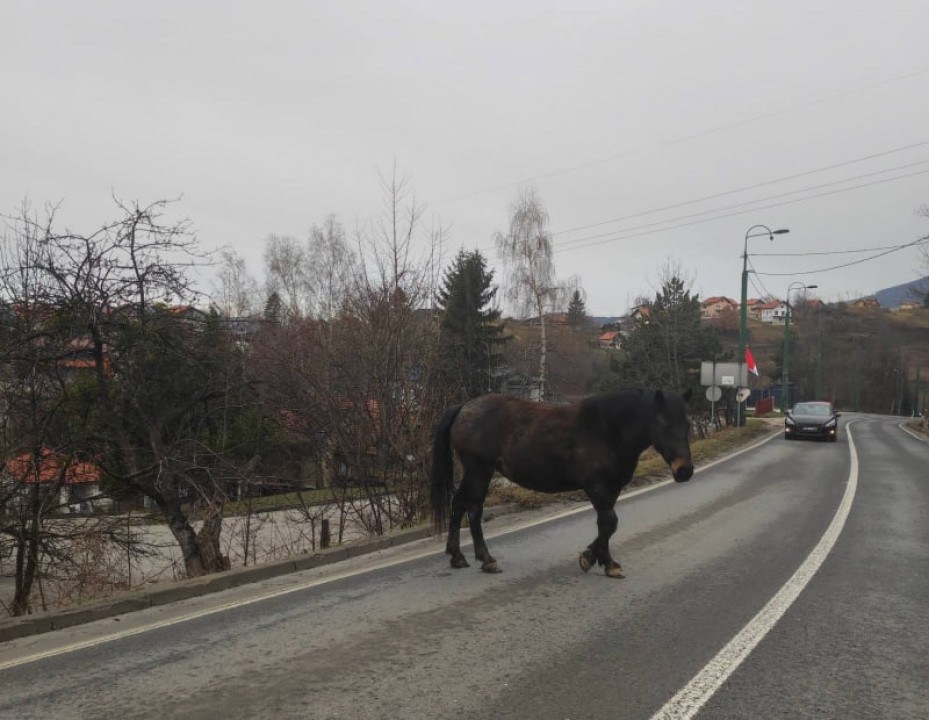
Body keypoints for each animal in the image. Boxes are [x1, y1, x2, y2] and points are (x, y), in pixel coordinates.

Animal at [432, 390, 692, 576]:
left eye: (688, 425)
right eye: (664, 424)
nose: (685, 470)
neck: (607, 429)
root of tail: (464, 407)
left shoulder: (612, 488)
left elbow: (605, 525)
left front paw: (607, 562)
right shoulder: (596, 486)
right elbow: (609, 522)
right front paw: (588, 558)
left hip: (472, 473)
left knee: (458, 505)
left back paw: (457, 556)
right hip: (479, 470)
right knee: (474, 510)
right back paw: (486, 560)